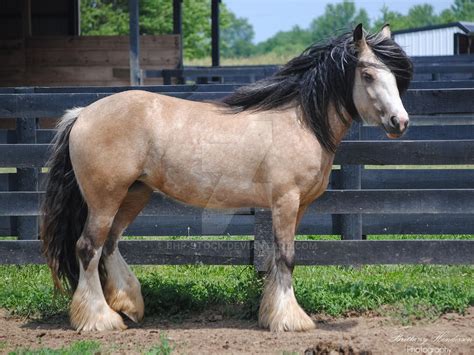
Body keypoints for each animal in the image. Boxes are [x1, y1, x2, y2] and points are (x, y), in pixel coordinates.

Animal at [39, 24, 412, 330]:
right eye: (368, 74)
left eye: (395, 77)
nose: (400, 122)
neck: (299, 121)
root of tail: (83, 113)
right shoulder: (285, 200)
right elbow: (287, 257)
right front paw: (291, 320)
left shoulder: (298, 206)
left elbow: (277, 257)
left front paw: (271, 314)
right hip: (105, 199)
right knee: (88, 248)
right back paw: (100, 320)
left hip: (134, 194)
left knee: (110, 244)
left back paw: (129, 306)